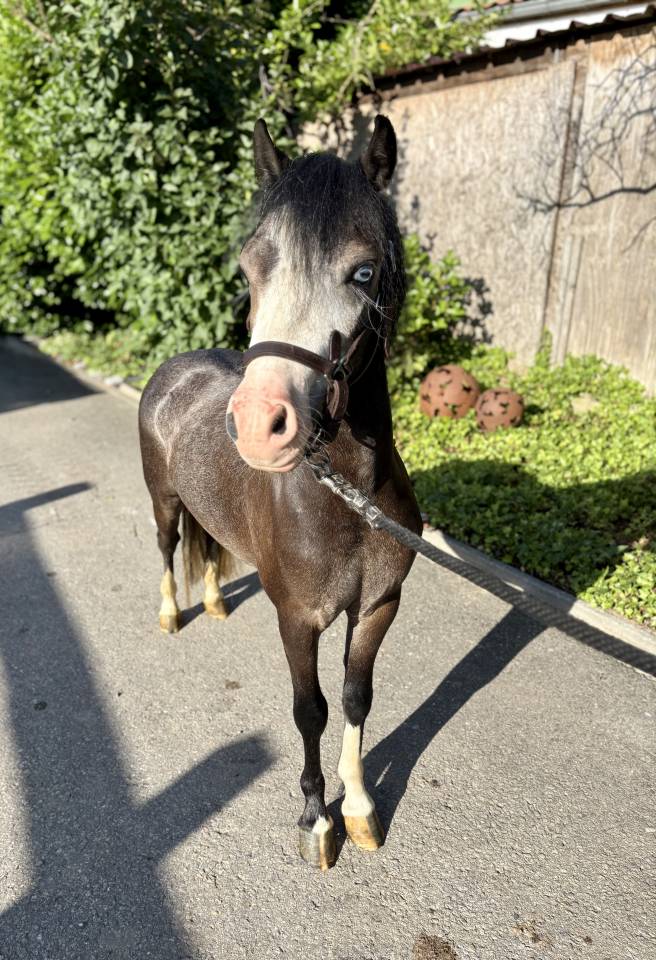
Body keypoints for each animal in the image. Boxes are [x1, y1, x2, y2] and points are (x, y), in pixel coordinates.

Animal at [138, 115, 421, 870]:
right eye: (249, 269)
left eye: (363, 271)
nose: (260, 425)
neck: (347, 496)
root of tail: (174, 369)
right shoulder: (297, 617)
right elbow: (310, 709)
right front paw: (316, 821)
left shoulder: (378, 606)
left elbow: (356, 697)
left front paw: (359, 811)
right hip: (164, 503)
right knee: (169, 549)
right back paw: (173, 615)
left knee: (208, 552)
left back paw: (212, 602)